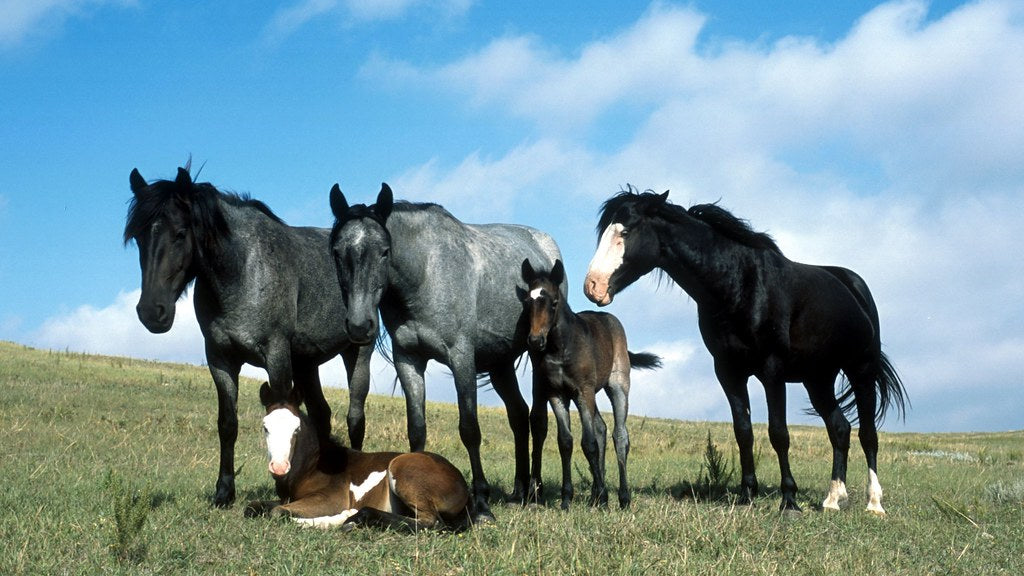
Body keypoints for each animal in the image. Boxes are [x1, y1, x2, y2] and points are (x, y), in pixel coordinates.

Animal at [123, 163, 372, 504]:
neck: (242, 271)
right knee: (321, 414)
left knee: (355, 418)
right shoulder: (221, 359)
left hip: (357, 353)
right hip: (307, 364)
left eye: (181, 233)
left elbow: (283, 411)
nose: (151, 312)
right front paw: (224, 492)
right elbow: (228, 424)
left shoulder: (276, 355)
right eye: (138, 237)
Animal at [245, 383, 473, 532]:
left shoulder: (331, 498)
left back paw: (352, 517)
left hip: (402, 469)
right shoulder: (288, 498)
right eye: (265, 427)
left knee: (431, 522)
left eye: (296, 428)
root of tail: (462, 483)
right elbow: (252, 506)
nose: (279, 467)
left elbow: (277, 512)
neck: (312, 466)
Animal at [331, 183, 565, 520]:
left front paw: (481, 504)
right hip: (501, 363)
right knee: (519, 417)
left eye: (385, 251)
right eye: (337, 252)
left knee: (537, 420)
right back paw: (518, 492)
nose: (360, 326)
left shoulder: (461, 358)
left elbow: (469, 428)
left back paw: (534, 493)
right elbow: (417, 429)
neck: (426, 273)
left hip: (537, 356)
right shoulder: (409, 360)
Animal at [524, 259, 659, 506]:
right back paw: (596, 493)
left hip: (617, 386)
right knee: (601, 428)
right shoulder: (557, 394)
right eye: (528, 301)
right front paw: (567, 498)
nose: (536, 340)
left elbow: (589, 443)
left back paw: (622, 497)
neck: (561, 348)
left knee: (619, 435)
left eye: (554, 302)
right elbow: (566, 442)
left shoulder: (582, 391)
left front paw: (605, 497)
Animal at [581, 190, 909, 512]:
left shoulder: (772, 371)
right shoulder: (729, 372)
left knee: (868, 434)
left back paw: (874, 503)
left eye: (625, 232)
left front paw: (789, 500)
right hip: (818, 380)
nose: (592, 286)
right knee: (839, 429)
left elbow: (779, 433)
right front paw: (746, 495)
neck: (739, 284)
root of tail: (854, 286)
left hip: (861, 371)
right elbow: (744, 432)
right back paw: (832, 499)